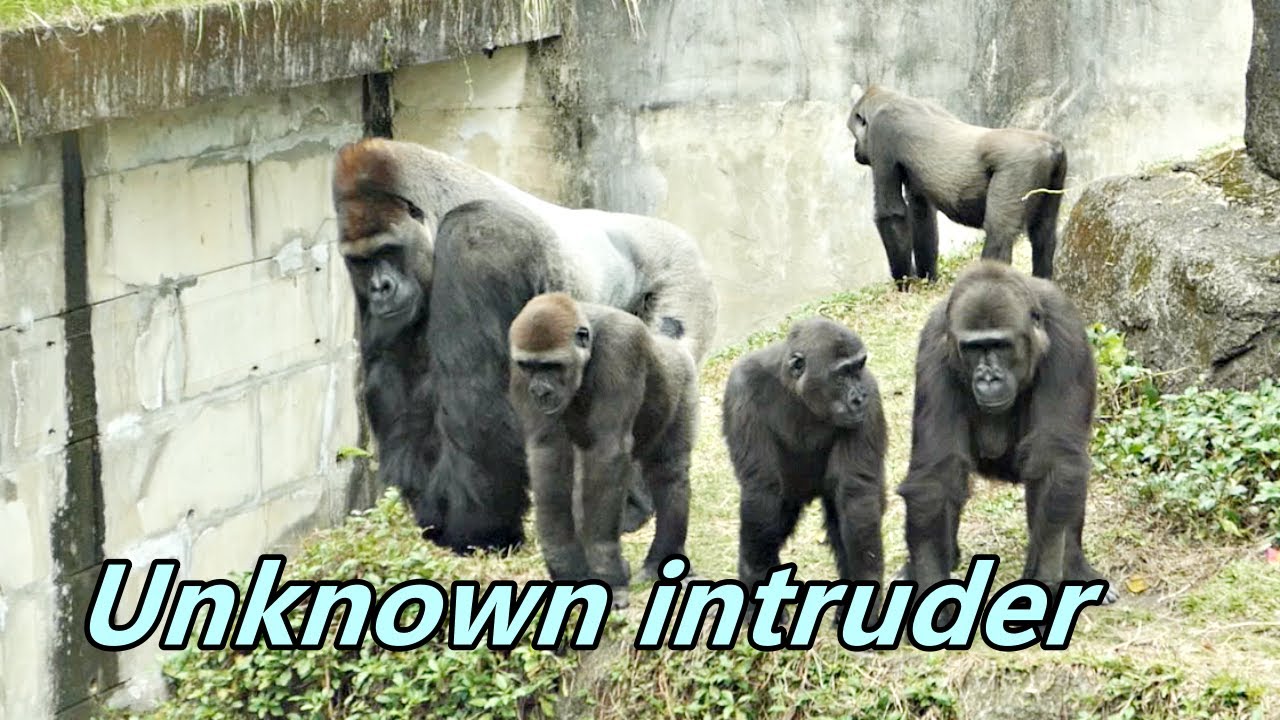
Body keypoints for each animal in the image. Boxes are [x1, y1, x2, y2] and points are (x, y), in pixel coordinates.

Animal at [508, 293, 697, 608]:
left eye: (552, 366)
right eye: (530, 366)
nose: (540, 392)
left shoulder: (621, 347)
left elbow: (607, 454)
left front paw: (607, 569)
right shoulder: (518, 370)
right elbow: (547, 455)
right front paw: (564, 563)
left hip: (684, 378)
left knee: (669, 475)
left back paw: (660, 561)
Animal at [847, 85, 1067, 286]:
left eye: (854, 134)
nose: (856, 150)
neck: (892, 99)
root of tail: (1048, 147)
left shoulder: (881, 131)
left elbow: (891, 213)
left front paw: (905, 283)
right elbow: (922, 213)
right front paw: (927, 278)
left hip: (1019, 167)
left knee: (999, 235)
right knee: (1044, 232)